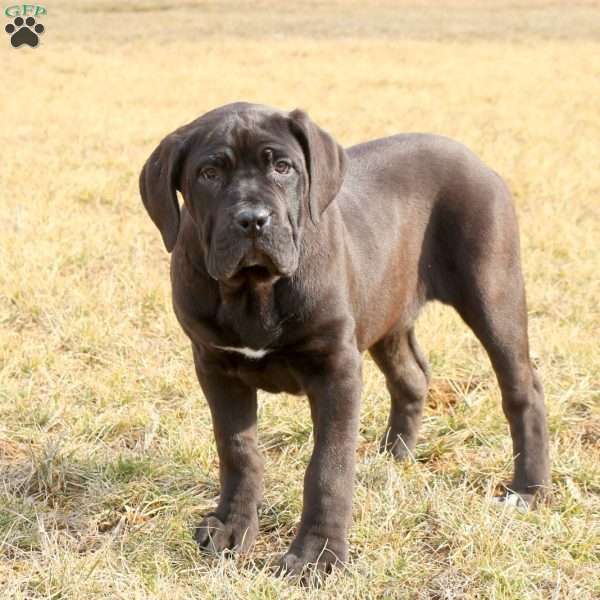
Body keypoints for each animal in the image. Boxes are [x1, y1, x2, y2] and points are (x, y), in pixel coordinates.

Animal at [139, 103, 548, 576]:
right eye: (208, 173)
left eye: (283, 167)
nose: (253, 220)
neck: (254, 289)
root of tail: (475, 159)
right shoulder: (216, 367)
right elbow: (238, 451)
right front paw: (231, 527)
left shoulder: (336, 368)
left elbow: (328, 467)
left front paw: (315, 554)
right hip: (388, 310)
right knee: (411, 377)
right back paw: (392, 457)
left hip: (493, 292)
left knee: (523, 389)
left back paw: (528, 490)